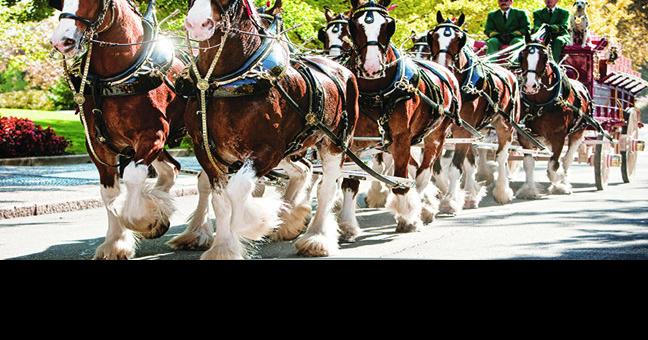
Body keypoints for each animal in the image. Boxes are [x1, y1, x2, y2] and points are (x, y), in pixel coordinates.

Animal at [50, 0, 187, 260]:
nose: (63, 41)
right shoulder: (97, 143)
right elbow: (110, 192)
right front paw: (116, 243)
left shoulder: (153, 135)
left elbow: (132, 176)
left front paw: (147, 220)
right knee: (172, 169)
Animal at [184, 0, 360, 258]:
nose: (197, 23)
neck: (227, 81)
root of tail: (342, 69)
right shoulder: (204, 150)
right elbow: (221, 201)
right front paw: (223, 248)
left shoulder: (267, 151)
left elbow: (239, 191)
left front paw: (257, 222)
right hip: (291, 149)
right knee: (304, 170)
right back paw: (290, 218)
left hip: (335, 143)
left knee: (327, 188)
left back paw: (316, 237)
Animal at [336, 0, 458, 234]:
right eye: (353, 26)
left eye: (389, 26)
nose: (371, 67)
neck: (376, 93)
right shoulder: (354, 141)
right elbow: (350, 180)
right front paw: (347, 225)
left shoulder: (402, 137)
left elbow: (402, 181)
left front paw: (408, 220)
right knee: (414, 168)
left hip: (435, 136)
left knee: (422, 173)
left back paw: (423, 208)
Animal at [430, 13, 520, 212]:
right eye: (432, 36)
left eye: (459, 39)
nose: (442, 67)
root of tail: (509, 73)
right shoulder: (445, 131)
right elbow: (438, 168)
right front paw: (450, 193)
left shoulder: (462, 131)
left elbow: (455, 168)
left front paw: (450, 201)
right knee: (471, 162)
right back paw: (471, 195)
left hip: (505, 125)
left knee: (502, 156)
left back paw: (502, 192)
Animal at [516, 34, 592, 197]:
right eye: (521, 55)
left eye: (545, 57)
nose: (530, 86)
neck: (540, 104)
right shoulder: (525, 135)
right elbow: (529, 163)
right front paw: (529, 190)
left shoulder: (558, 135)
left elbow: (554, 165)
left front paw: (558, 183)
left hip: (578, 132)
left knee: (567, 159)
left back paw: (564, 182)